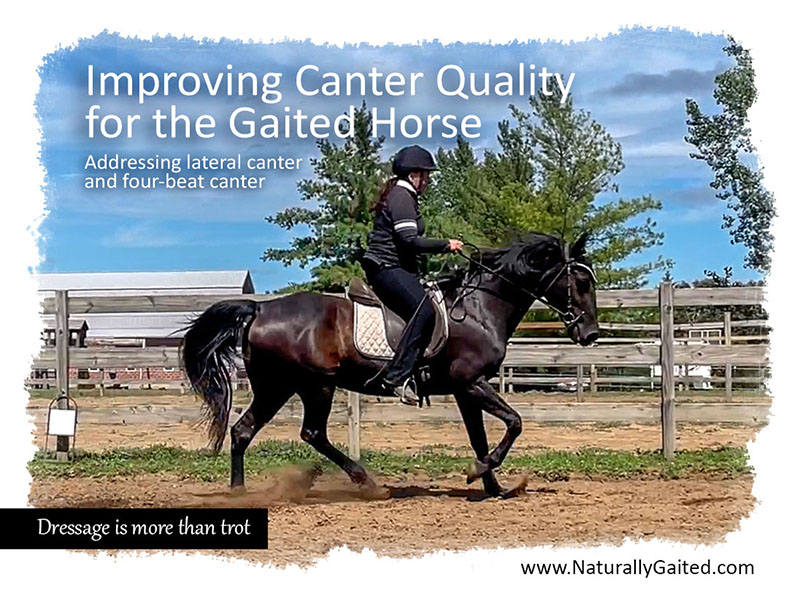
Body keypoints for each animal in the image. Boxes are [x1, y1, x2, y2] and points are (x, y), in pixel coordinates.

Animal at [181, 232, 599, 497]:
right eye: (580, 282)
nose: (591, 333)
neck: (479, 309)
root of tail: (260, 309)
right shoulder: (471, 382)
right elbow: (514, 422)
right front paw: (480, 472)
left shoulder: (466, 390)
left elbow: (480, 438)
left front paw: (492, 486)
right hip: (316, 385)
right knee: (312, 434)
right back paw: (367, 483)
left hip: (277, 387)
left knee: (243, 431)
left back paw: (239, 492)